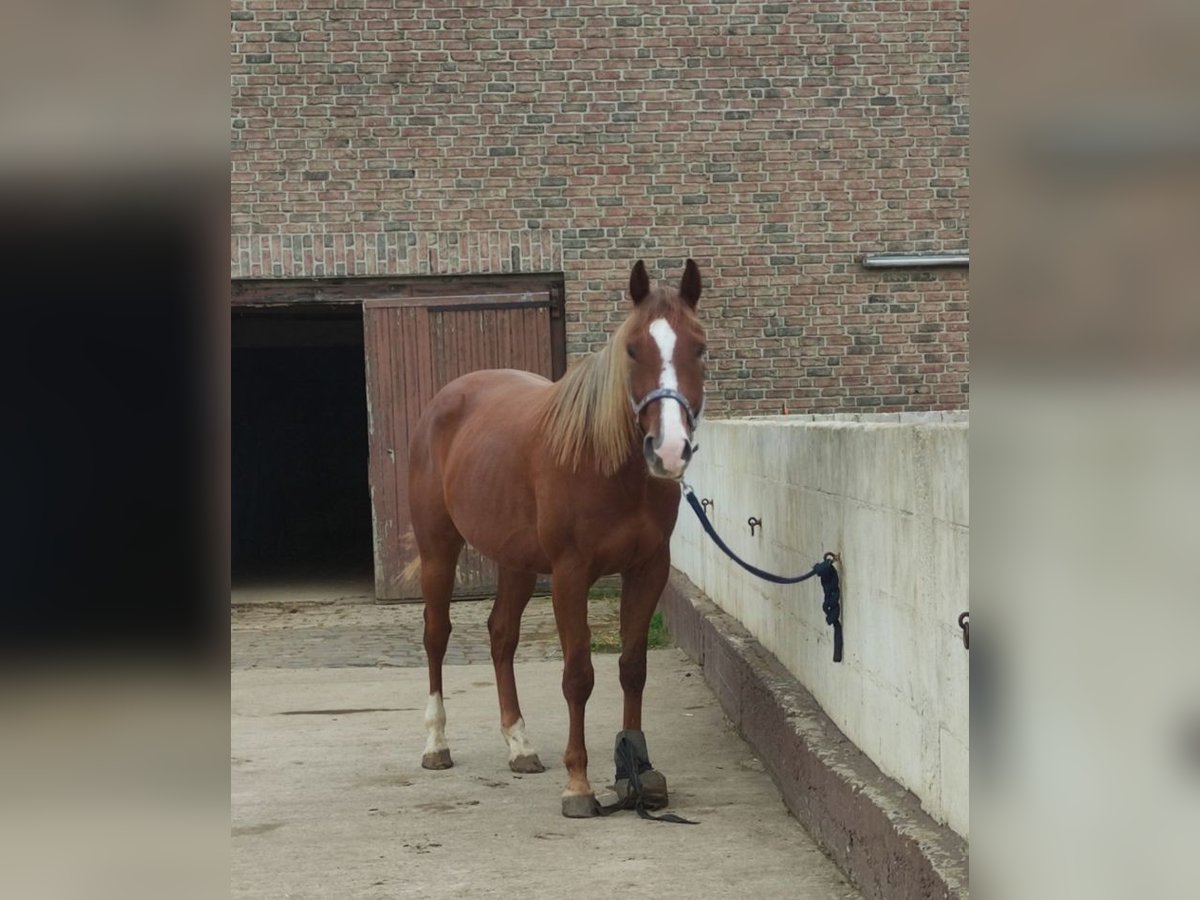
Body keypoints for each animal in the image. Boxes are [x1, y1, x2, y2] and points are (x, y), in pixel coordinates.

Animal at [410, 259, 700, 816]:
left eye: (699, 347)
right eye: (633, 349)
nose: (670, 450)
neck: (608, 467)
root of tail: (444, 400)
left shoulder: (648, 568)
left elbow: (632, 667)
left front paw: (636, 772)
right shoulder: (571, 573)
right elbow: (578, 675)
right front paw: (579, 783)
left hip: (517, 562)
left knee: (501, 635)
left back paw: (519, 746)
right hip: (438, 549)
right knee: (437, 636)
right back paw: (435, 744)